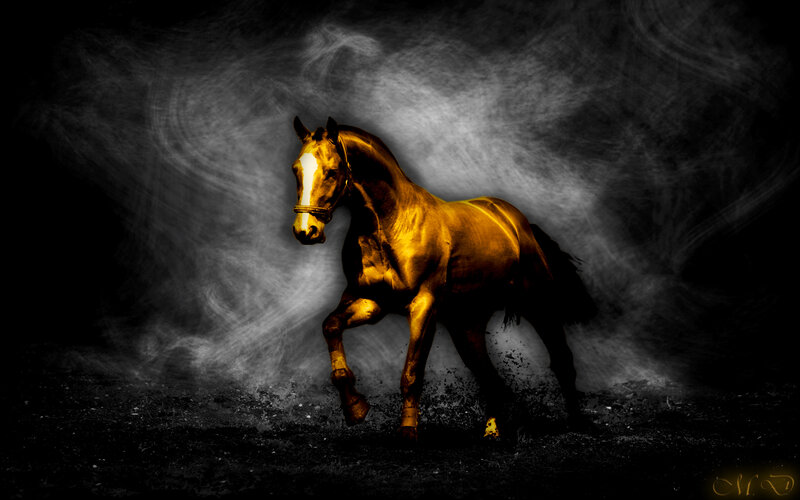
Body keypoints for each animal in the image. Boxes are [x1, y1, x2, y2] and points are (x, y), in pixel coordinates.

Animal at [289, 116, 596, 441]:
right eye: (296, 169)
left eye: (332, 171)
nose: (305, 231)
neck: (391, 225)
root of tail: (517, 222)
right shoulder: (371, 303)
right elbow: (331, 327)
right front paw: (355, 409)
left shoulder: (423, 306)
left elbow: (412, 372)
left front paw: (407, 431)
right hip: (467, 324)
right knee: (487, 374)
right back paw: (495, 430)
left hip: (538, 305)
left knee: (561, 359)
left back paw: (578, 424)